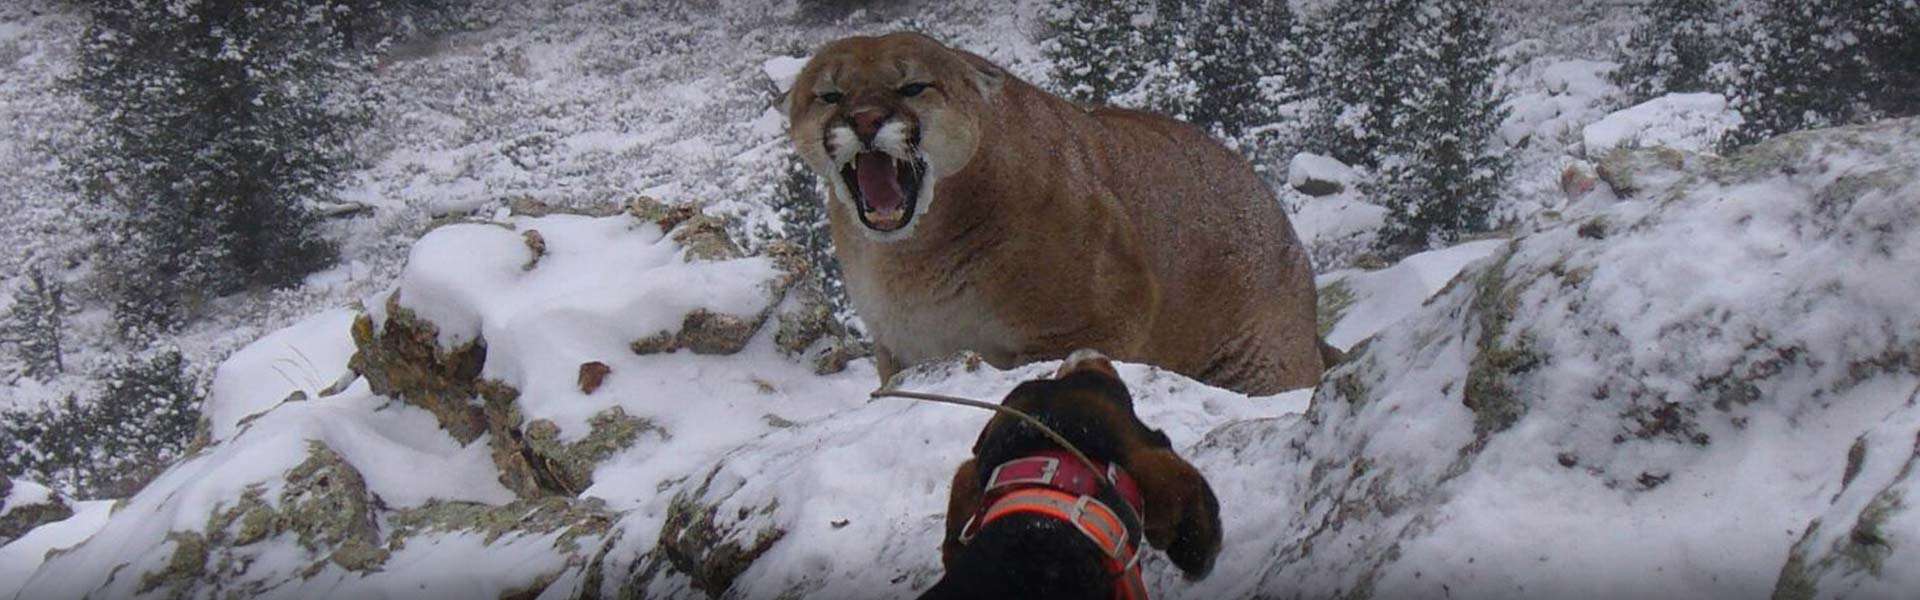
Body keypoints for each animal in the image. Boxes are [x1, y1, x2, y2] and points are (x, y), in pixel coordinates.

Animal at [787, 32, 1330, 395]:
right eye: (830, 95)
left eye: (914, 86)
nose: (865, 120)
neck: (909, 258)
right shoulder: (898, 349)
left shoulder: (1105, 315)